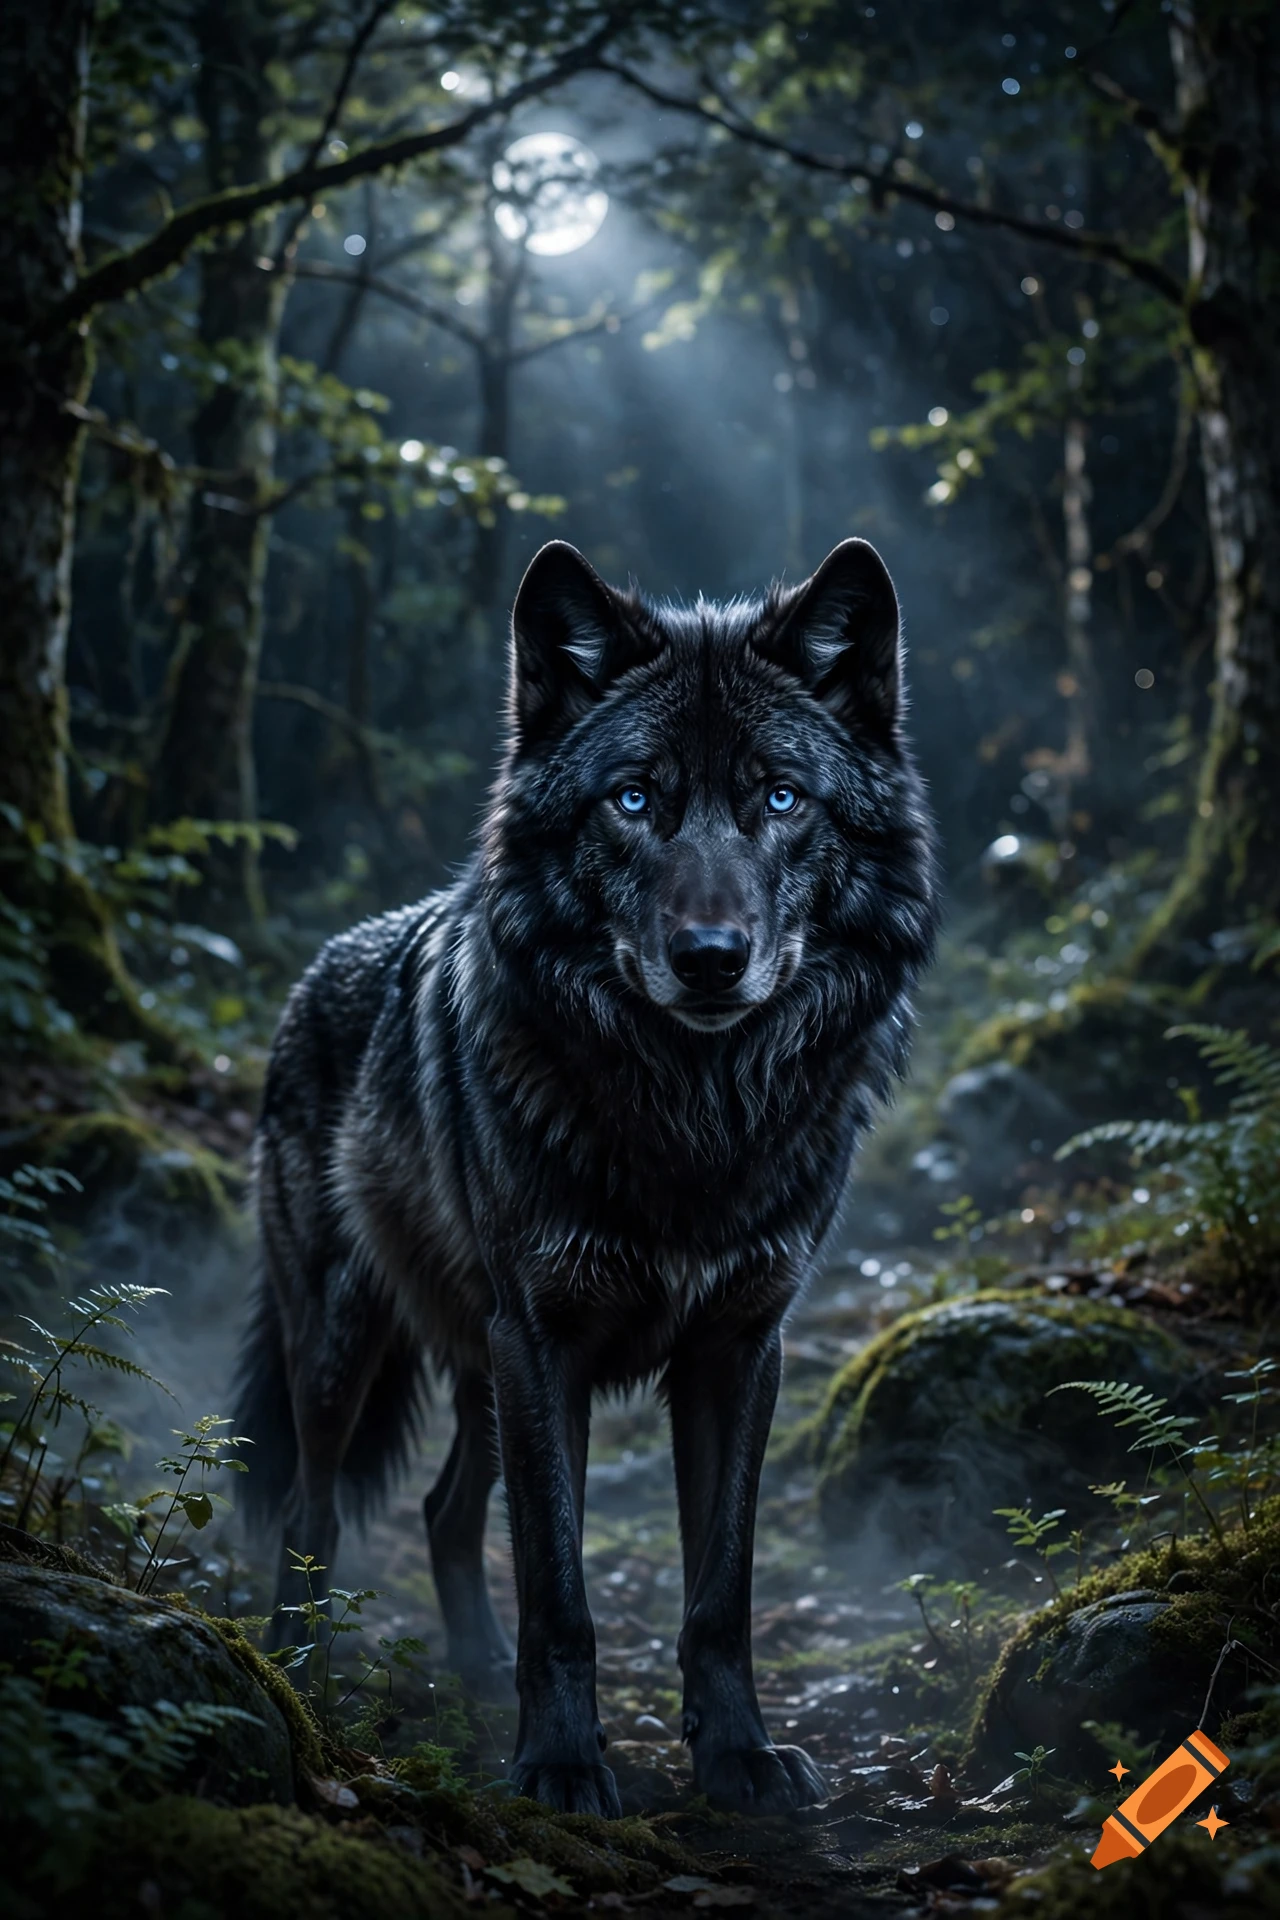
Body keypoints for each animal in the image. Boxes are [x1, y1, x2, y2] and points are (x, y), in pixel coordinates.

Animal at [235, 536, 939, 1816]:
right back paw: (301, 1669)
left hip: (478, 1366)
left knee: (445, 1510)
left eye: (779, 797)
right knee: (313, 1512)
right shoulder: (543, 1340)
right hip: (349, 1350)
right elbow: (559, 1592)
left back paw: (470, 1676)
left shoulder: (736, 1347)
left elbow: (719, 1591)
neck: (693, 1118)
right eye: (632, 799)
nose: (708, 960)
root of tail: (317, 969)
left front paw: (738, 1757)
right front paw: (561, 1764)